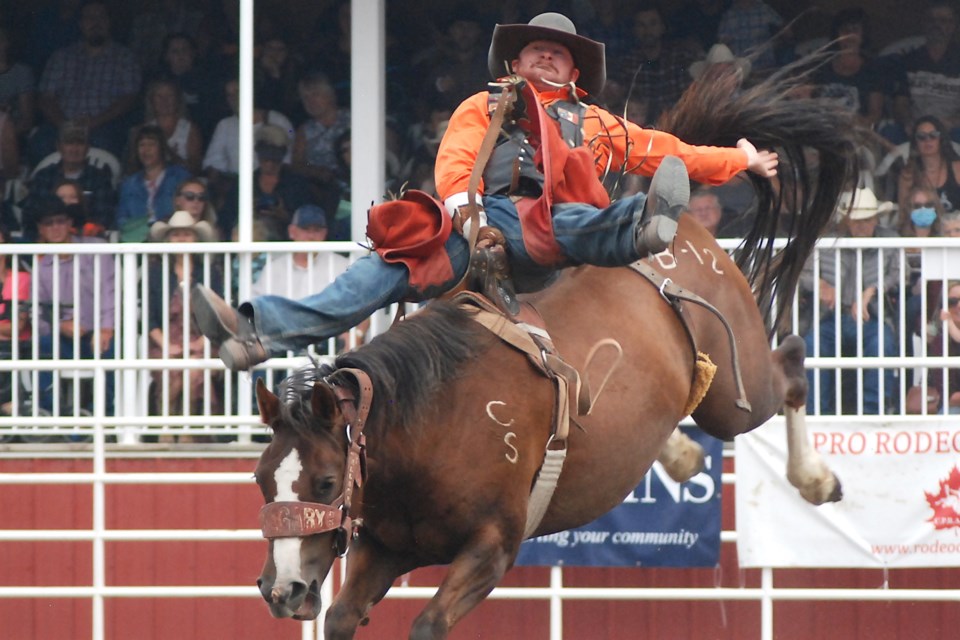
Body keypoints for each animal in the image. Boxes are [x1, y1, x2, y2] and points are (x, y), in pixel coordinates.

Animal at [249, 61, 856, 640]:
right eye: (260, 479)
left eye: (326, 483)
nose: (281, 590)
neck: (429, 422)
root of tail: (681, 222)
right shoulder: (384, 547)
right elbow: (340, 618)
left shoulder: (493, 547)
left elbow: (429, 623)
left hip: (736, 394)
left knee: (791, 363)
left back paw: (816, 478)